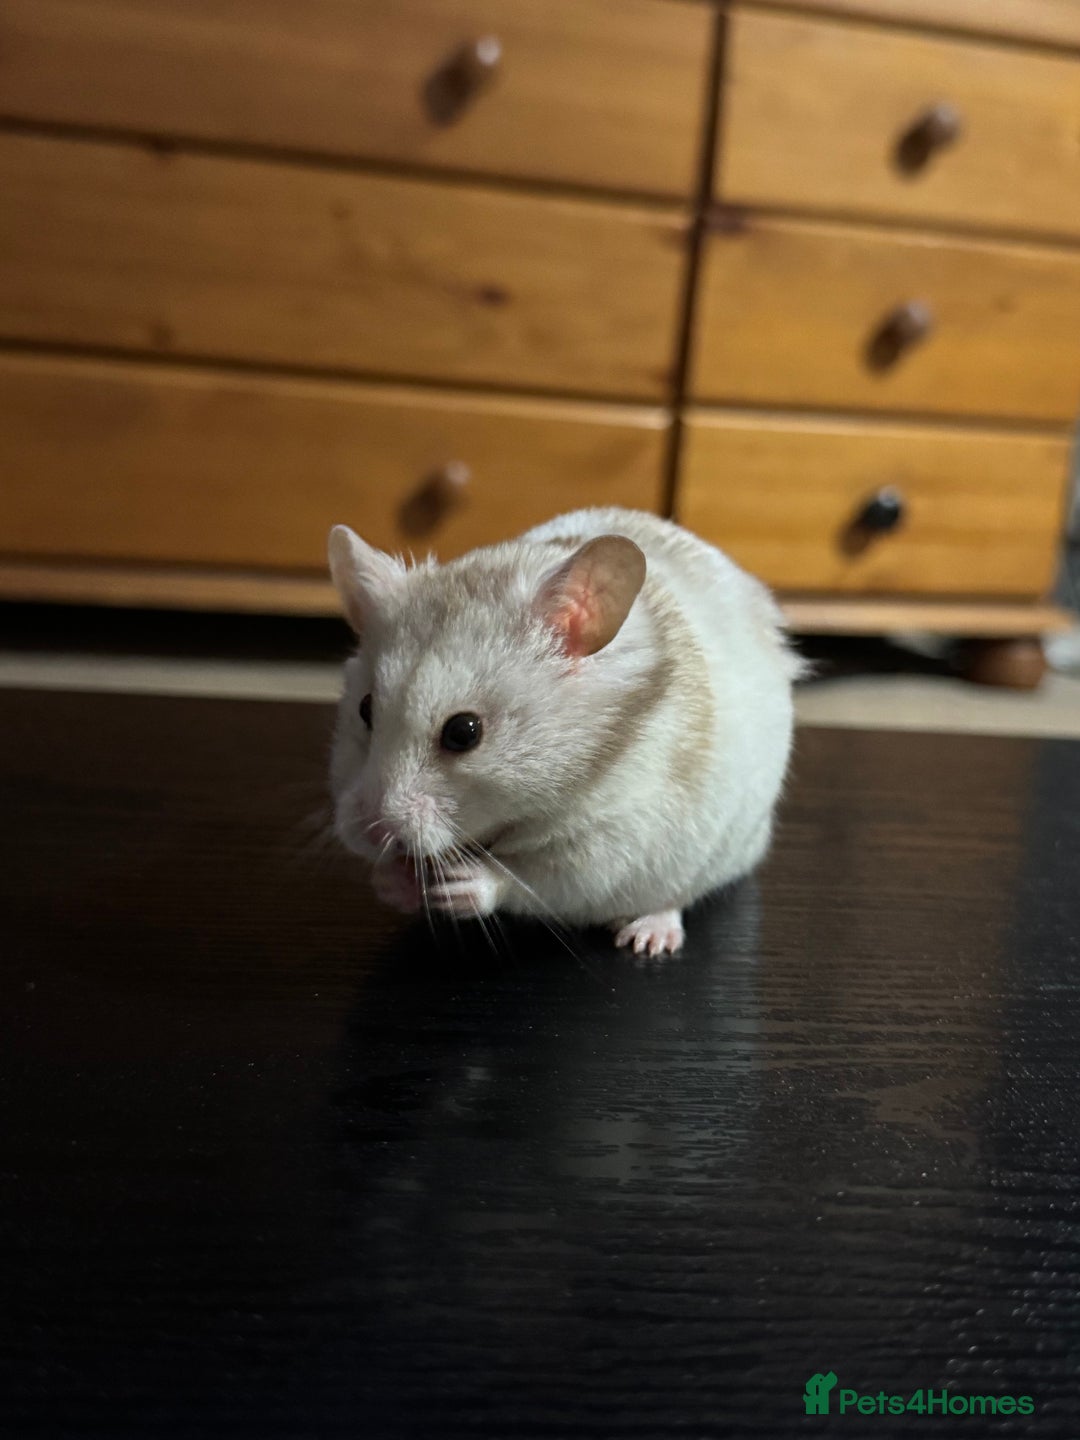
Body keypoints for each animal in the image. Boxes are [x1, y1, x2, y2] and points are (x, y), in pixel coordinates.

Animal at [327, 508, 800, 957]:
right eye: (365, 709)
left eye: (464, 732)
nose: (372, 834)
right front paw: (391, 879)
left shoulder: (615, 839)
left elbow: (538, 877)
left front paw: (459, 886)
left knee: (673, 897)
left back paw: (646, 939)